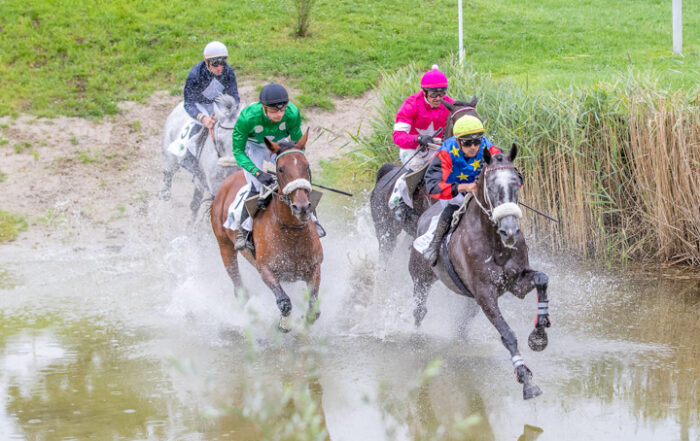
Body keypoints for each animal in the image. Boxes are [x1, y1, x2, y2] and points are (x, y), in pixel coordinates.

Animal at [211, 131, 322, 330]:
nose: (302, 207)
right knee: (237, 282)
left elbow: (313, 308)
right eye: (280, 169)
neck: (290, 232)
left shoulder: (314, 266)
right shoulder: (265, 269)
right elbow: (284, 302)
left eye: (306, 165)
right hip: (224, 245)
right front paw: (284, 325)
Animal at [410, 144, 552, 398]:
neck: (495, 243)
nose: (510, 231)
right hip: (420, 278)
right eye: (492, 187)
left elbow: (542, 278)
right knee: (419, 310)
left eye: (516, 182)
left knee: (461, 323)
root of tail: (424, 216)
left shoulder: (515, 282)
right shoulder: (485, 293)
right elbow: (507, 334)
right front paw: (526, 380)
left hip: (469, 300)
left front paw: (539, 335)